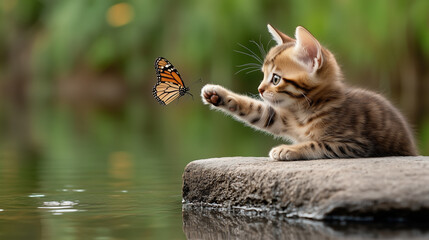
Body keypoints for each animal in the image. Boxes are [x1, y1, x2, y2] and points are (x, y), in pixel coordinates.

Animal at [201, 24, 418, 160]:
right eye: (263, 75)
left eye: (275, 79)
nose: (260, 89)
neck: (304, 111)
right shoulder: (282, 117)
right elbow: (257, 110)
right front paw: (217, 94)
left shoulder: (356, 144)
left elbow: (317, 144)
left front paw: (287, 149)